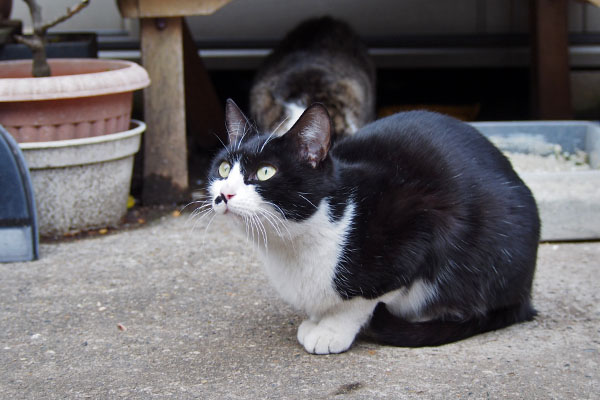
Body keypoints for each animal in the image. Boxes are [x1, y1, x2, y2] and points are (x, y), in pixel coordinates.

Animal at [205, 99, 540, 354]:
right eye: (223, 168)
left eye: (266, 172)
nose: (225, 194)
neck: (290, 243)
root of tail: (525, 296)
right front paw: (317, 318)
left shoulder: (419, 222)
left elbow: (364, 298)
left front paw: (331, 329)